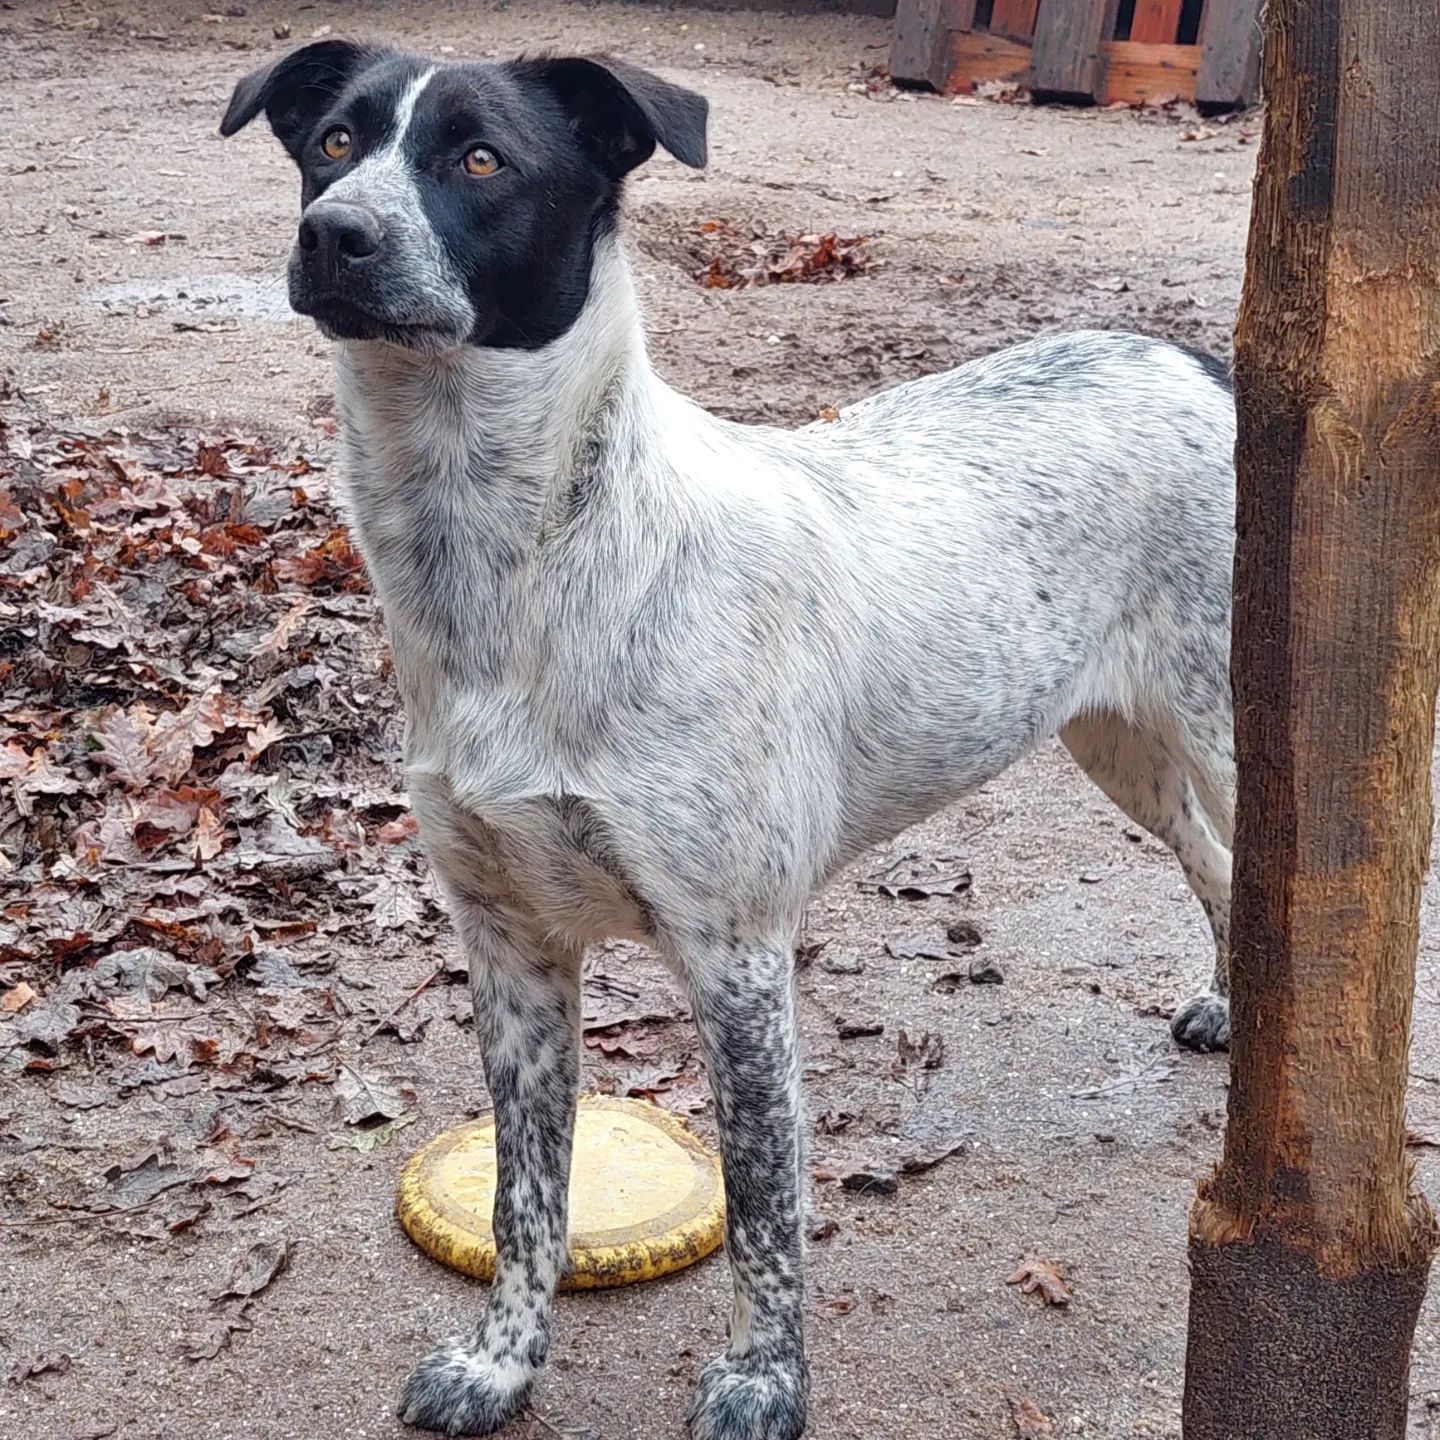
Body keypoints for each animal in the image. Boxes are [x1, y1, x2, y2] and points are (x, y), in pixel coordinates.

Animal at [218, 45, 1232, 1440]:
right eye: (331, 141)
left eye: (481, 159)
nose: (335, 235)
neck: (521, 567)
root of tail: (1195, 359)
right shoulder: (510, 949)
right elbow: (527, 1194)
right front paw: (501, 1364)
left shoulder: (736, 954)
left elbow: (762, 1206)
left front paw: (764, 1382)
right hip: (1119, 742)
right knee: (1216, 870)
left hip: (1232, 731)